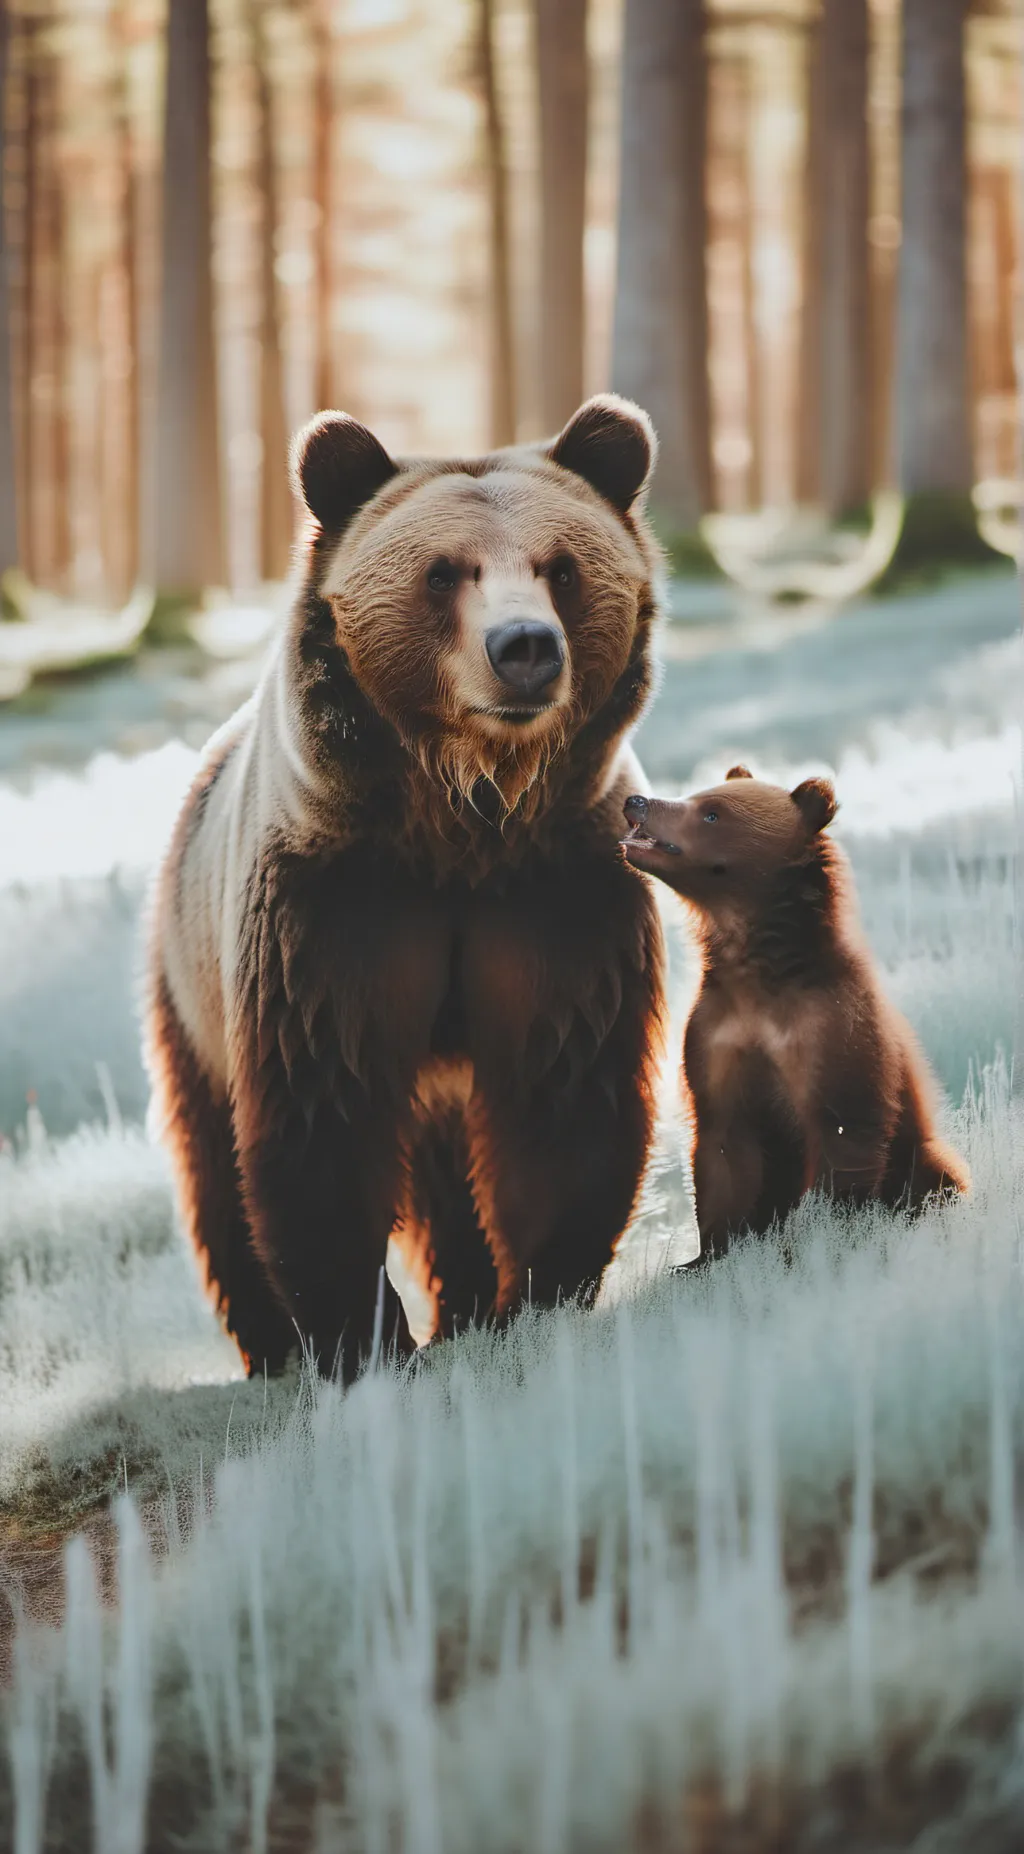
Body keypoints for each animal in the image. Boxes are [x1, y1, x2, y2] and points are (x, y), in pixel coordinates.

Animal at [145, 395, 667, 1380]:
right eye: (442, 572)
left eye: (562, 568)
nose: (525, 647)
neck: (461, 823)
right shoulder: (337, 904)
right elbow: (324, 1110)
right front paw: (358, 1340)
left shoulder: (554, 895)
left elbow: (562, 1089)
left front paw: (532, 1301)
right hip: (188, 980)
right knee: (212, 1159)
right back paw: (268, 1344)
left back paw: (460, 1305)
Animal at [620, 766, 968, 1260]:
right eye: (698, 795)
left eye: (712, 812)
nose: (637, 801)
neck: (759, 967)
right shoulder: (719, 1033)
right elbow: (722, 1147)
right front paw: (710, 1253)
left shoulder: (830, 1028)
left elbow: (843, 1135)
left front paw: (819, 1235)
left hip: (922, 1154)